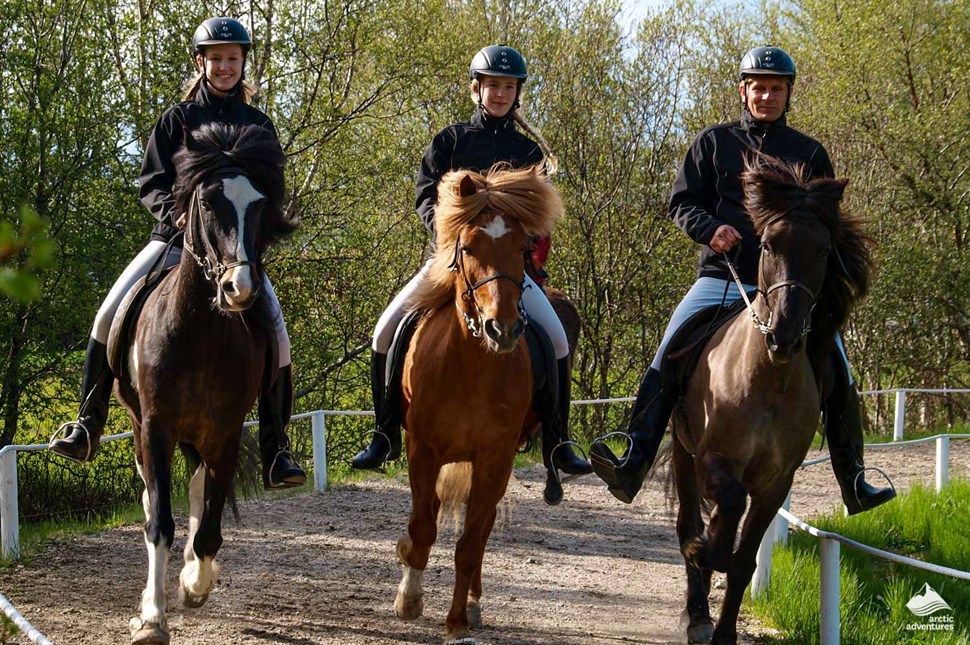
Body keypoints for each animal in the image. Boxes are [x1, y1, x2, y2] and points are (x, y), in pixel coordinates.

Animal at [114, 123, 294, 640]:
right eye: (210, 203)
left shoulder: (226, 433)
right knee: (152, 498)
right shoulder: (156, 428)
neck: (199, 332)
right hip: (140, 426)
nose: (240, 289)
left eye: (260, 205)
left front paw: (195, 584)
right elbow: (159, 522)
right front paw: (153, 617)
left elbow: (210, 525)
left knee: (197, 488)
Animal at [392, 165, 560, 640]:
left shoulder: (494, 457)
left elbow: (469, 543)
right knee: (431, 514)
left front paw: (456, 621)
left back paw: (473, 603)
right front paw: (409, 598)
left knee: (480, 530)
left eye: (523, 249)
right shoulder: (422, 449)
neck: (471, 367)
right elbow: (423, 525)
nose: (501, 329)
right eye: (466, 247)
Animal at [664, 153, 868, 640]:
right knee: (687, 523)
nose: (784, 336)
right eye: (770, 246)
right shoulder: (713, 457)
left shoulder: (776, 482)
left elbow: (741, 562)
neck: (768, 379)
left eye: (823, 251)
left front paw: (725, 634)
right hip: (683, 454)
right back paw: (696, 612)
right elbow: (724, 511)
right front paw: (705, 553)